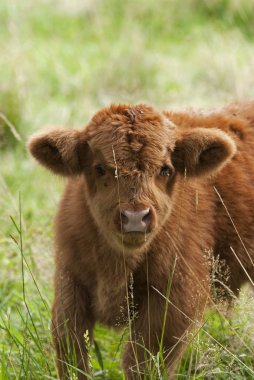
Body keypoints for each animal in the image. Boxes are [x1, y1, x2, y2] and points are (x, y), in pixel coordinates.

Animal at [27, 99, 254, 378]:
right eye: (99, 168)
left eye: (165, 169)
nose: (135, 217)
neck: (115, 267)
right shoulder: (69, 281)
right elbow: (72, 352)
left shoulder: (175, 299)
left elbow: (141, 362)